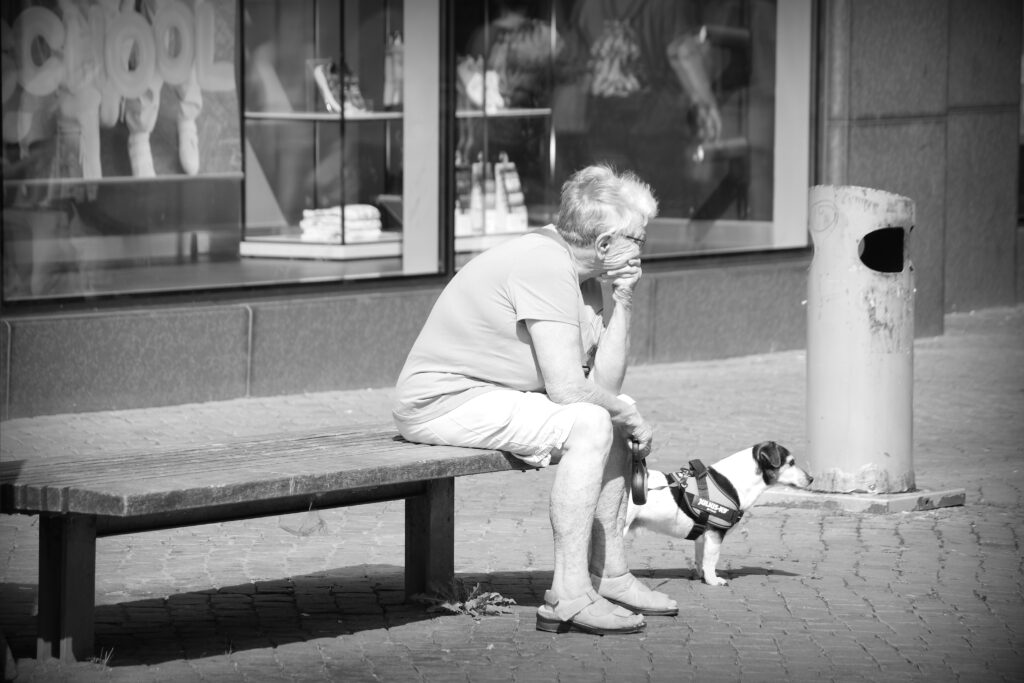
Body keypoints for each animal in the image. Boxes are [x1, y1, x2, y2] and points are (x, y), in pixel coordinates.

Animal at [622, 444, 815, 589]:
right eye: (791, 463)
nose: (812, 478)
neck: (734, 482)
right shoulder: (715, 533)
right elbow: (711, 560)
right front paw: (713, 580)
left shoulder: (703, 536)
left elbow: (701, 559)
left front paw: (703, 576)